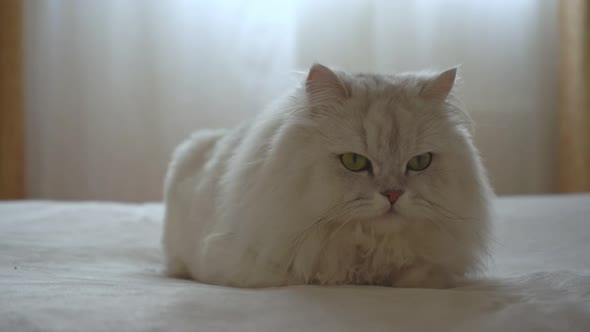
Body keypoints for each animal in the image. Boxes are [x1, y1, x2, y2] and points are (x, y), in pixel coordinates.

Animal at [163, 63, 494, 286]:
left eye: (420, 162)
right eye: (354, 161)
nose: (393, 194)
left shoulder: (437, 269)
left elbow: (423, 277)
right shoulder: (238, 260)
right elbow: (296, 276)